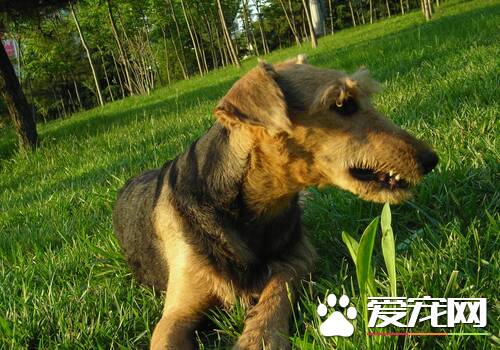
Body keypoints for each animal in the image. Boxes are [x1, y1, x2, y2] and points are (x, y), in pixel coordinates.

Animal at [112, 56, 438, 348]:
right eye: (342, 104)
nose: (430, 160)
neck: (250, 210)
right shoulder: (178, 311)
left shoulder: (297, 258)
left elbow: (276, 294)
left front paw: (259, 338)